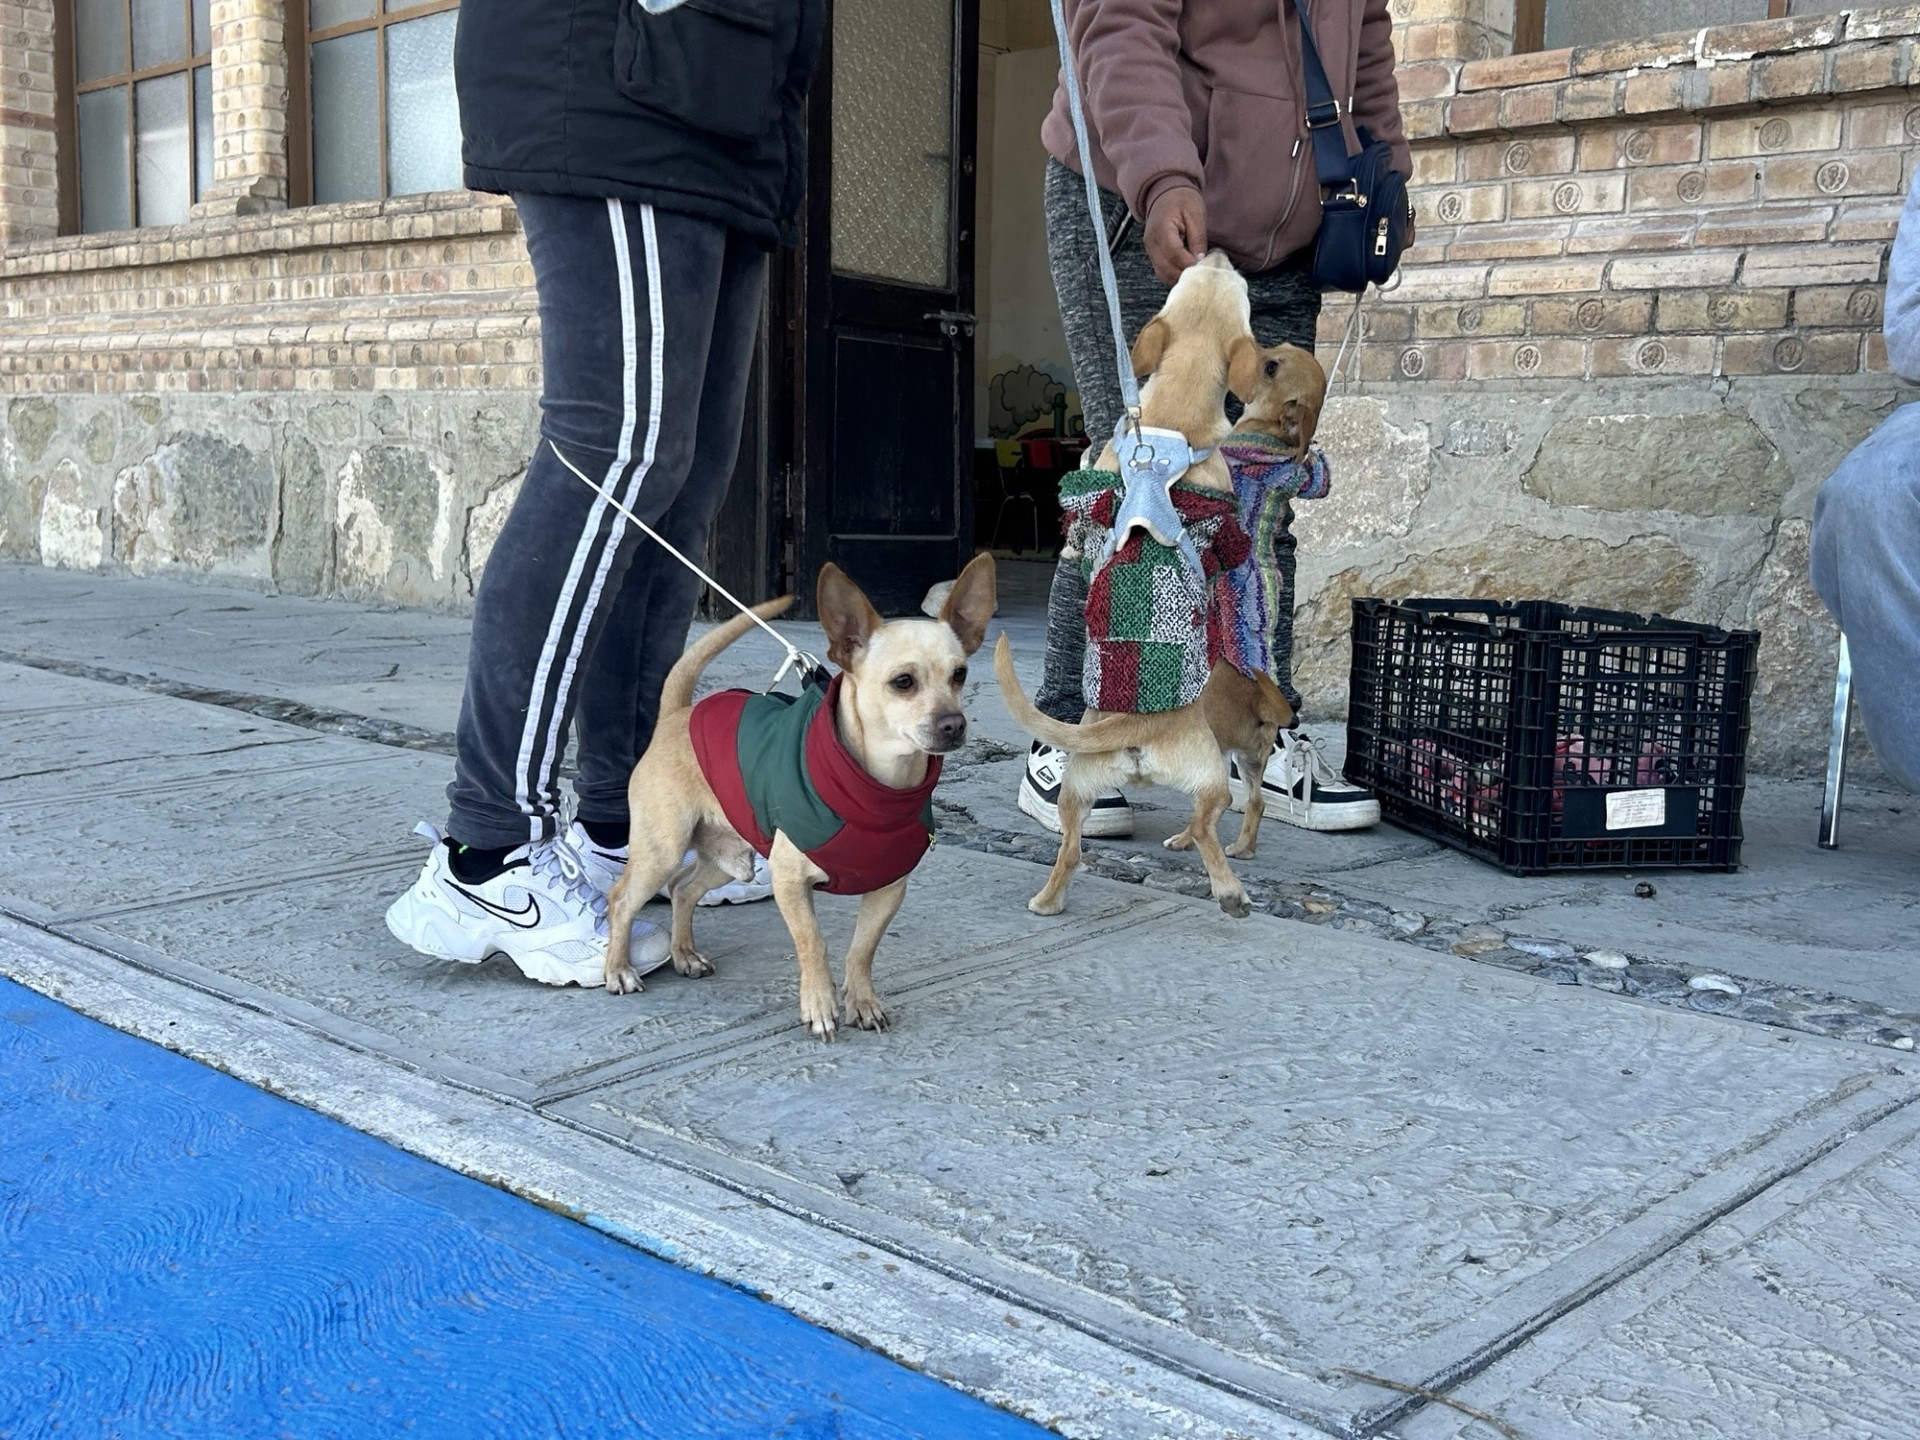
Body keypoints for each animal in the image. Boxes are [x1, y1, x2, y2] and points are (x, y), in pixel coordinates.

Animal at [603, 552, 997, 1040]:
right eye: (903, 682)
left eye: (960, 675)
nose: (954, 724)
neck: (878, 792)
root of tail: (677, 714)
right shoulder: (790, 882)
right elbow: (815, 942)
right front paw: (820, 1005)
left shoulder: (888, 890)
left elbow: (861, 949)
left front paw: (861, 1001)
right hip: (661, 851)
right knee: (622, 900)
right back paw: (618, 969)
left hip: (728, 859)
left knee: (682, 888)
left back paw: (684, 954)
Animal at [995, 252, 1295, 918]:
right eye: (1243, 292)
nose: (1217, 251)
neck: (1165, 429)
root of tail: (1130, 730)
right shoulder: (1226, 522)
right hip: (1212, 778)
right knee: (1215, 821)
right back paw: (1229, 889)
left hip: (1078, 791)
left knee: (1072, 850)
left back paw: (1048, 901)